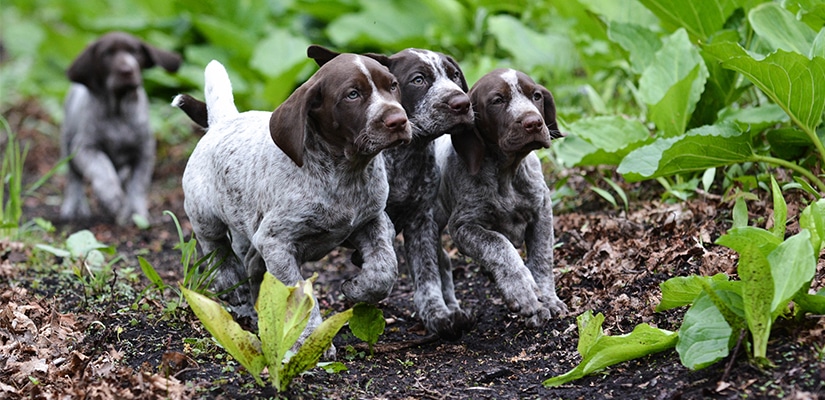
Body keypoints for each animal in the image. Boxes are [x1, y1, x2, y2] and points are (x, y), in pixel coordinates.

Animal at [60, 31, 182, 225]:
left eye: (135, 52)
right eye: (107, 54)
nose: (127, 70)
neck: (118, 110)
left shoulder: (144, 152)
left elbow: (138, 185)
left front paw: (135, 213)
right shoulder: (85, 148)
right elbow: (101, 167)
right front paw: (112, 197)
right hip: (67, 143)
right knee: (74, 179)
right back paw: (74, 207)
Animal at [180, 55, 412, 350]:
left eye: (392, 85)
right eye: (352, 94)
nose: (399, 120)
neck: (346, 172)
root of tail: (223, 121)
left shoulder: (372, 219)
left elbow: (385, 268)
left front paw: (358, 288)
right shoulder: (277, 242)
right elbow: (299, 297)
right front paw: (307, 341)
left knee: (252, 262)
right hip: (204, 212)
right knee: (215, 245)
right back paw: (231, 280)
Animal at [306, 46, 476, 340]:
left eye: (454, 75)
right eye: (418, 80)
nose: (462, 103)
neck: (406, 155)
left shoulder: (422, 221)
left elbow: (428, 272)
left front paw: (437, 313)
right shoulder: (375, 218)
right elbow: (383, 266)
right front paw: (358, 288)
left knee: (443, 262)